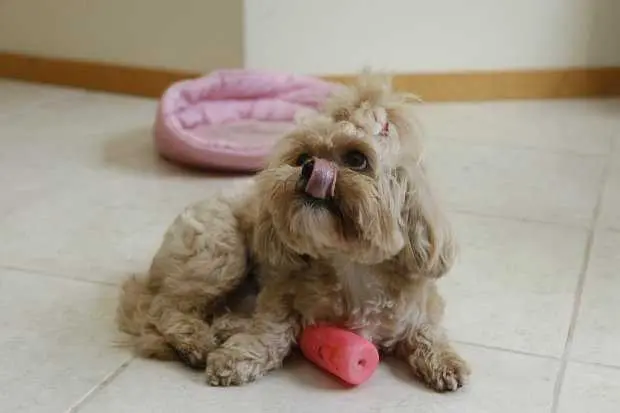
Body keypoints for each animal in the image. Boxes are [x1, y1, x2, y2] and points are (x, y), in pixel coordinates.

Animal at [116, 73, 468, 390]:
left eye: (357, 159)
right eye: (303, 157)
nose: (310, 168)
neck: (352, 268)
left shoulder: (420, 309)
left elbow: (428, 332)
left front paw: (447, 361)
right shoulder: (279, 294)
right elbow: (270, 331)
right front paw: (238, 356)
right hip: (220, 252)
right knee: (166, 306)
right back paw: (197, 340)